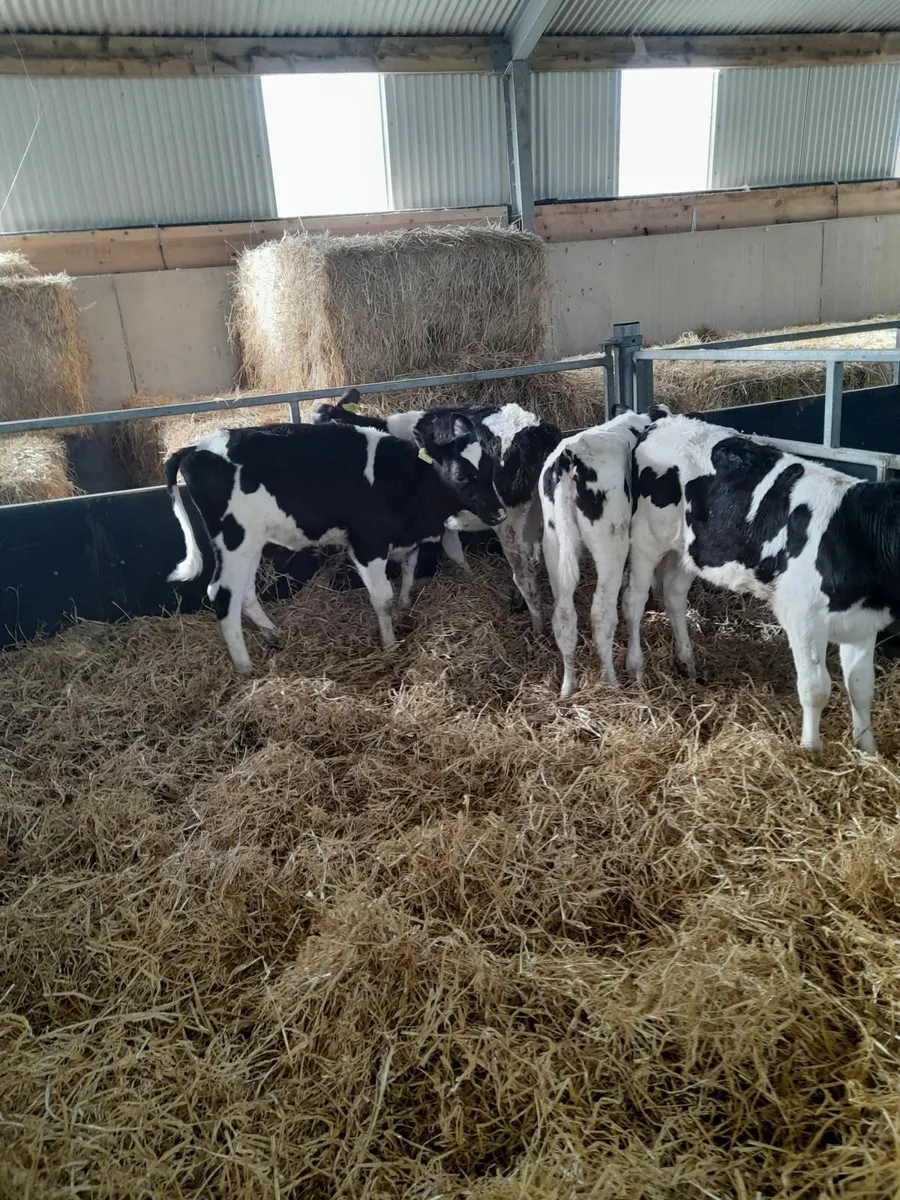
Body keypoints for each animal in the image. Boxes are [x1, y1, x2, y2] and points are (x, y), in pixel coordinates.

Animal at [164, 421, 505, 675]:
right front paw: (390, 644)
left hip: (250, 543)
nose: (499, 513)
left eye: (492, 468)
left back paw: (274, 634)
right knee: (222, 594)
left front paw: (406, 610)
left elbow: (408, 574)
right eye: (462, 475)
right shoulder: (368, 543)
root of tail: (194, 447)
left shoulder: (407, 540)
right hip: (234, 539)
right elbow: (382, 598)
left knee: (243, 592)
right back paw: (245, 667)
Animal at [318, 393, 561, 633]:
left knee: (524, 575)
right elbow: (453, 550)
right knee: (539, 560)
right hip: (535, 519)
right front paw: (470, 577)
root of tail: (535, 430)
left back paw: (537, 629)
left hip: (508, 523)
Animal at [539, 405, 671, 699]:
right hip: (611, 541)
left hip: (554, 544)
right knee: (602, 612)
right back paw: (611, 681)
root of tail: (569, 456)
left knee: (564, 616)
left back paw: (568, 686)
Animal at [624, 411, 900, 753]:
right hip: (646, 537)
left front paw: (867, 751)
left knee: (674, 595)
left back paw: (687, 661)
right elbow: (815, 689)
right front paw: (811, 751)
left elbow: (861, 688)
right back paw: (636, 666)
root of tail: (662, 419)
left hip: (693, 549)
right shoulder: (803, 618)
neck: (854, 533)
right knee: (634, 600)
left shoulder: (863, 622)